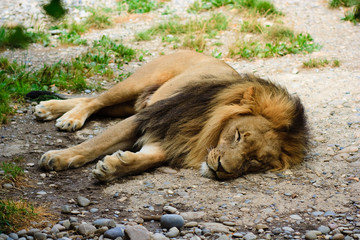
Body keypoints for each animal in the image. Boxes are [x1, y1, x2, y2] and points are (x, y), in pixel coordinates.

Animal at [34, 51, 310, 182]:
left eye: (255, 161)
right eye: (238, 135)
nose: (222, 169)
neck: (203, 131)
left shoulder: (172, 140)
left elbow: (148, 159)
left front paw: (114, 166)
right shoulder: (147, 118)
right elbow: (94, 144)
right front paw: (58, 158)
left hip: (131, 103)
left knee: (91, 101)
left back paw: (49, 108)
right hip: (136, 85)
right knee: (95, 100)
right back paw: (68, 118)